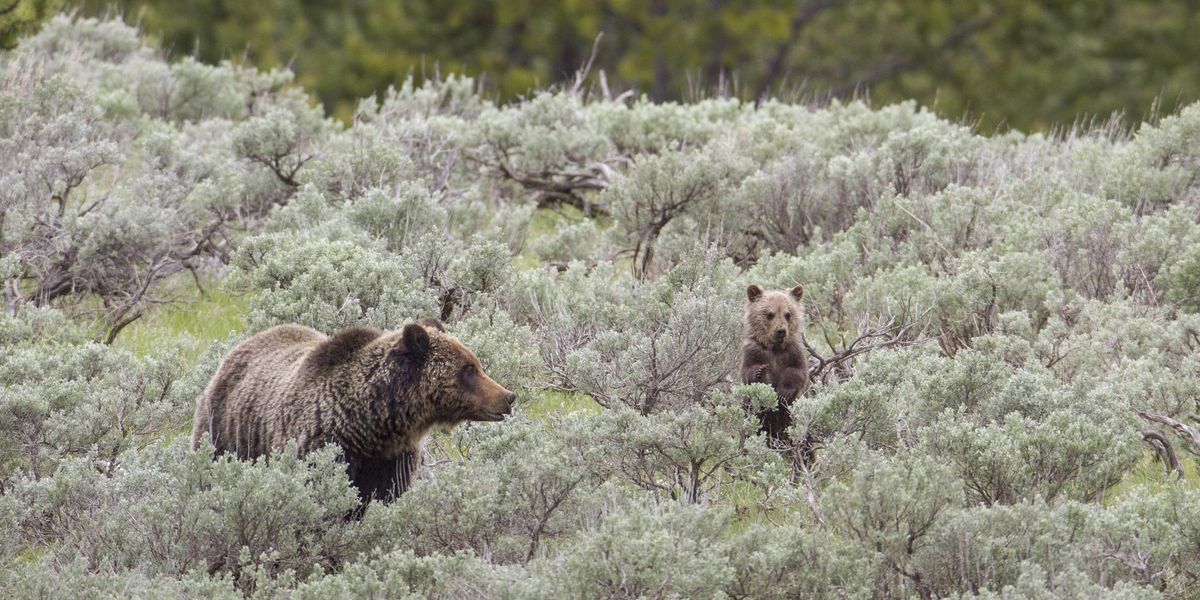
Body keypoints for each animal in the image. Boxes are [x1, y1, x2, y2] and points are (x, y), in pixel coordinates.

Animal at [191, 317, 515, 503]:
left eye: (476, 364)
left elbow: (385, 497)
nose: (508, 397)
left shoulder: (392, 459)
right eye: (469, 369)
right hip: (225, 433)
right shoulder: (320, 445)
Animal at [740, 284, 810, 451]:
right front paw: (760, 372)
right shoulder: (754, 351)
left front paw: (784, 392)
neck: (775, 348)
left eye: (788, 314)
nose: (781, 331)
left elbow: (797, 372)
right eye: (769, 314)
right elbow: (748, 371)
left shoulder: (793, 353)